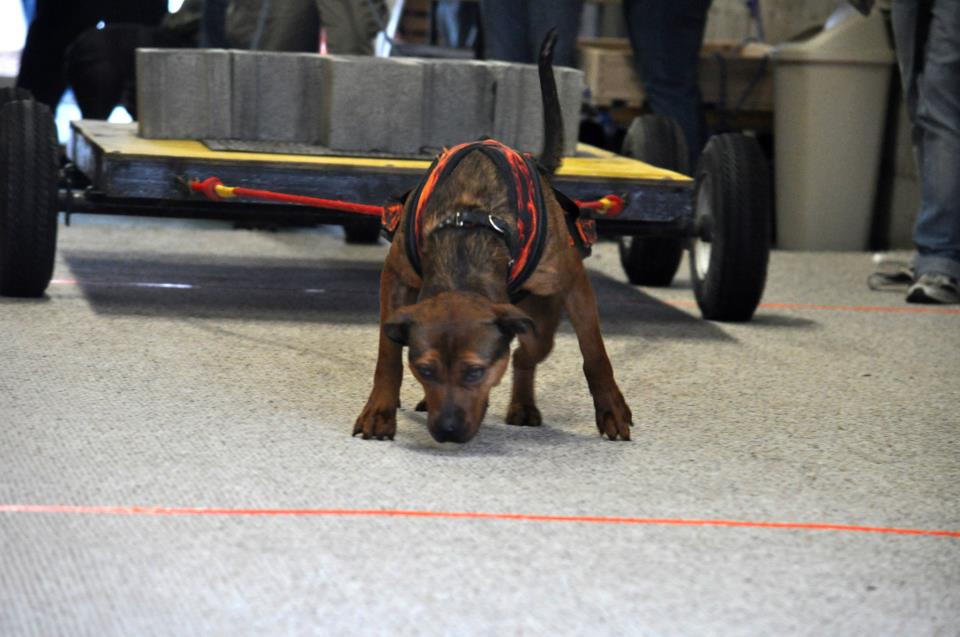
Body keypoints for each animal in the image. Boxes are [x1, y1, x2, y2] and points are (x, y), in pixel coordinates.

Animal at [352, 32, 632, 442]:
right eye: (426, 369)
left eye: (475, 371)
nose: (447, 431)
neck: (467, 235)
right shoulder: (396, 278)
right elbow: (388, 354)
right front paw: (380, 409)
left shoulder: (574, 283)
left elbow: (594, 352)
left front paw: (610, 406)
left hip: (541, 319)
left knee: (525, 353)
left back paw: (524, 404)